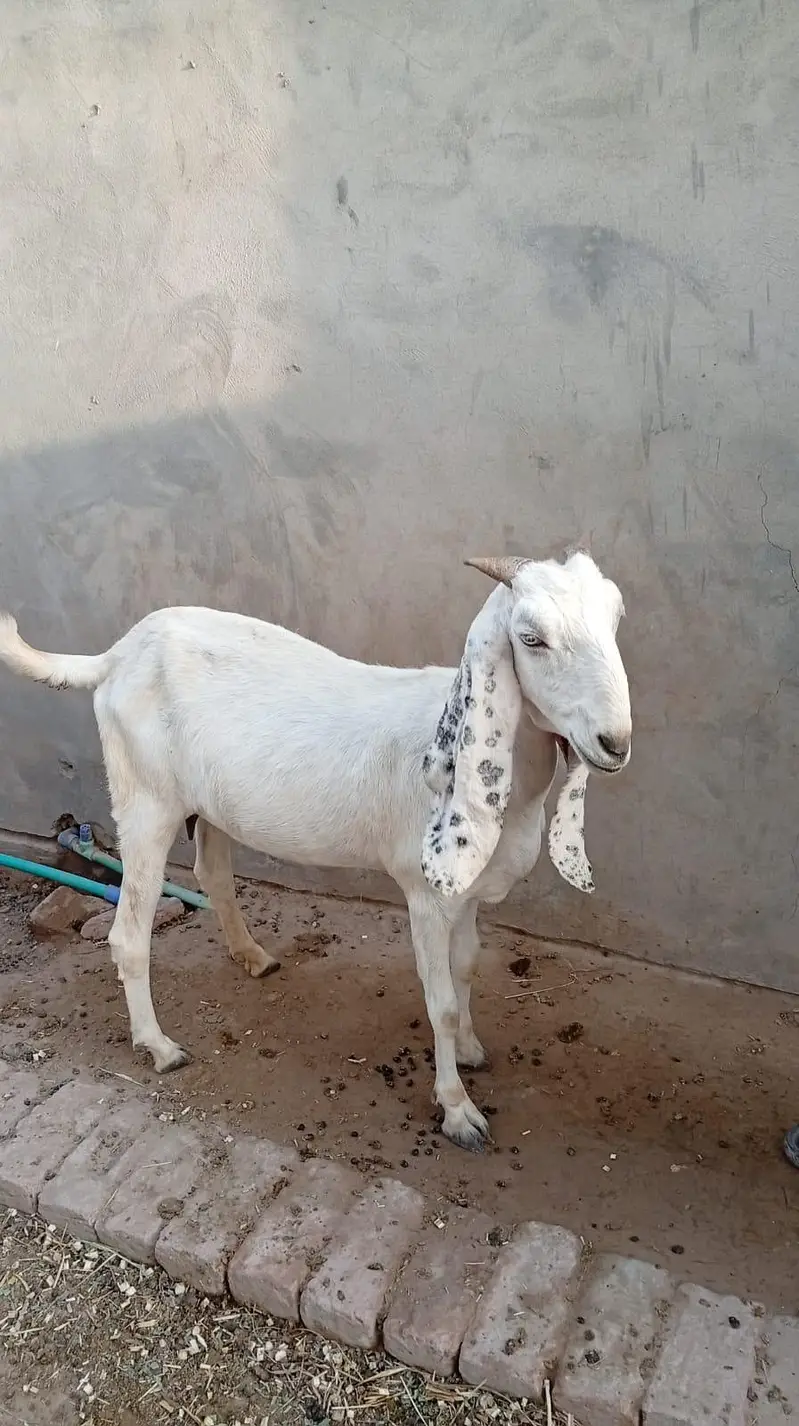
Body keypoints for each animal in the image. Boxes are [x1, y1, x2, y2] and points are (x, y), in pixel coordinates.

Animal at [0, 551, 631, 1151]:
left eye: (615, 618)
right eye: (531, 638)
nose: (615, 742)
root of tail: (116, 655)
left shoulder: (468, 888)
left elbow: (468, 968)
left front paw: (474, 1050)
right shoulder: (424, 892)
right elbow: (442, 1003)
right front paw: (457, 1111)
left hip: (213, 801)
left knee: (211, 869)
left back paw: (252, 956)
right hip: (146, 800)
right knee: (129, 933)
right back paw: (159, 1046)